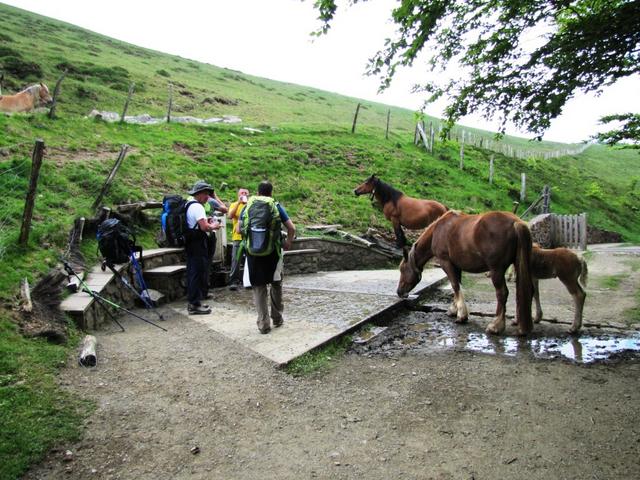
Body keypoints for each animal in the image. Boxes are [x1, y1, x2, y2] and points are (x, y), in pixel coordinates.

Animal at [398, 210, 532, 338]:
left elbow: (455, 285)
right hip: (516, 264)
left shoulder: (446, 262)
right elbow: (457, 286)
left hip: (496, 270)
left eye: (402, 269)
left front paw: (461, 315)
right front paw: (454, 309)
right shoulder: (456, 266)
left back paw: (495, 326)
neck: (438, 230)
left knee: (502, 293)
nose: (399, 292)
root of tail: (516, 222)